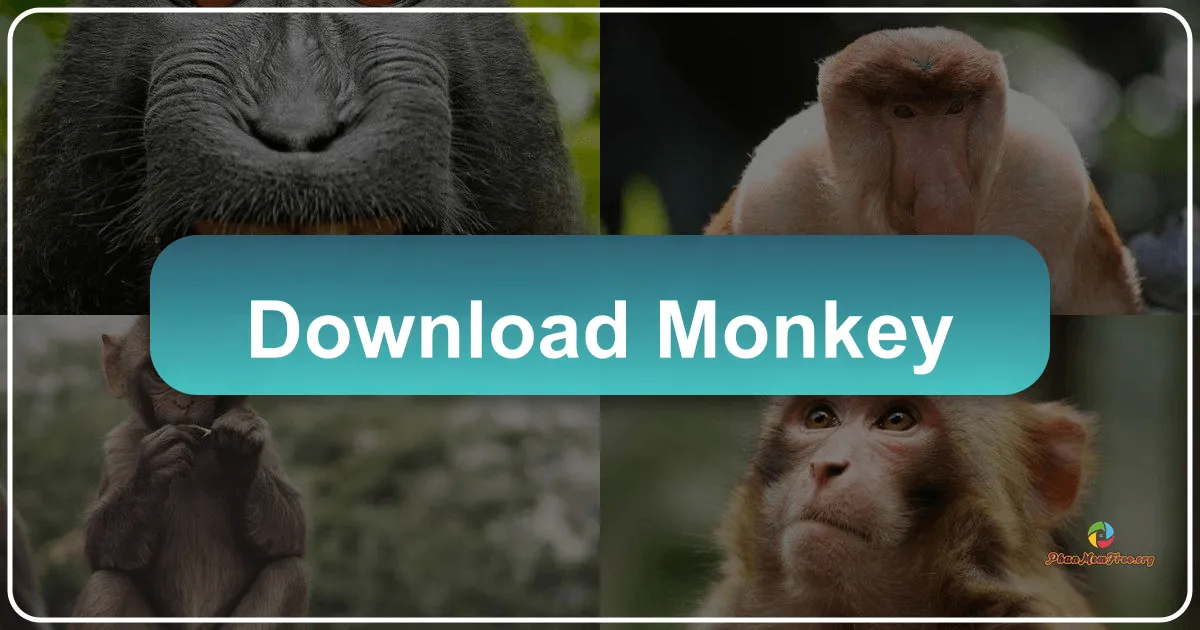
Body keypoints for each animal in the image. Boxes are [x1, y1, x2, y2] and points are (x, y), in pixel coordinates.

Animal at [71, 316, 308, 629]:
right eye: (159, 373)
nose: (183, 402)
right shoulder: (121, 445)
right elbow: (100, 549)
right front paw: (153, 470)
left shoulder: (263, 436)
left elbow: (292, 534)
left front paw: (238, 456)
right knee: (108, 584)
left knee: (288, 572)